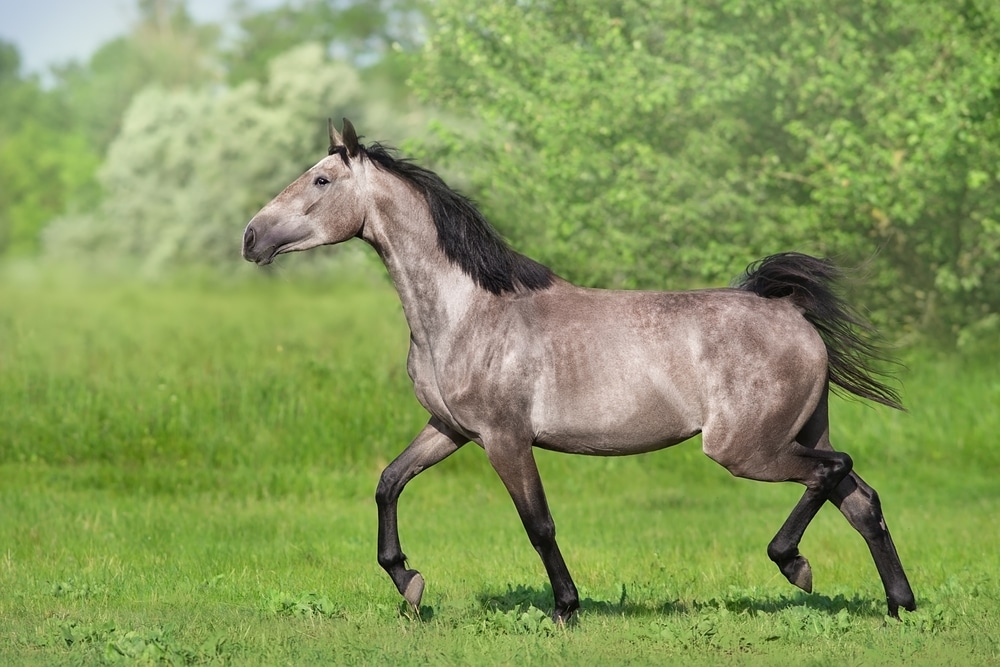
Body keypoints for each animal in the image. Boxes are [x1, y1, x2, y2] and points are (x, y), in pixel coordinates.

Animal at [240, 118, 916, 620]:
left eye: (321, 178)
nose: (251, 238)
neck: (468, 312)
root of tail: (790, 311)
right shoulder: (450, 429)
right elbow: (388, 482)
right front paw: (408, 582)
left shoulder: (505, 438)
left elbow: (538, 524)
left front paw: (566, 607)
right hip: (797, 432)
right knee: (860, 497)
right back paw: (898, 605)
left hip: (745, 448)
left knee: (832, 472)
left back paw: (794, 564)